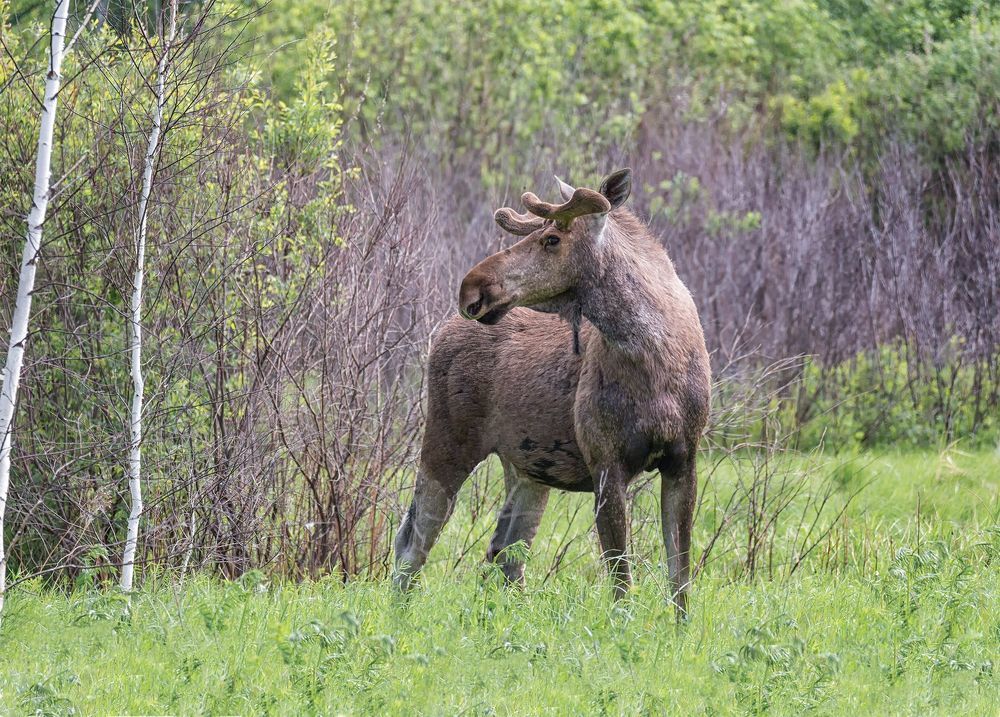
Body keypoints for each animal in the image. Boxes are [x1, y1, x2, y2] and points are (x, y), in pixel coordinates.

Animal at [393, 168, 711, 617]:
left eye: (552, 239)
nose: (471, 287)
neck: (655, 354)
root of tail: (441, 330)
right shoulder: (606, 462)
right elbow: (621, 579)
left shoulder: (683, 458)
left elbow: (679, 579)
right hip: (447, 441)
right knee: (413, 541)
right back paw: (398, 616)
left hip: (526, 470)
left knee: (503, 556)